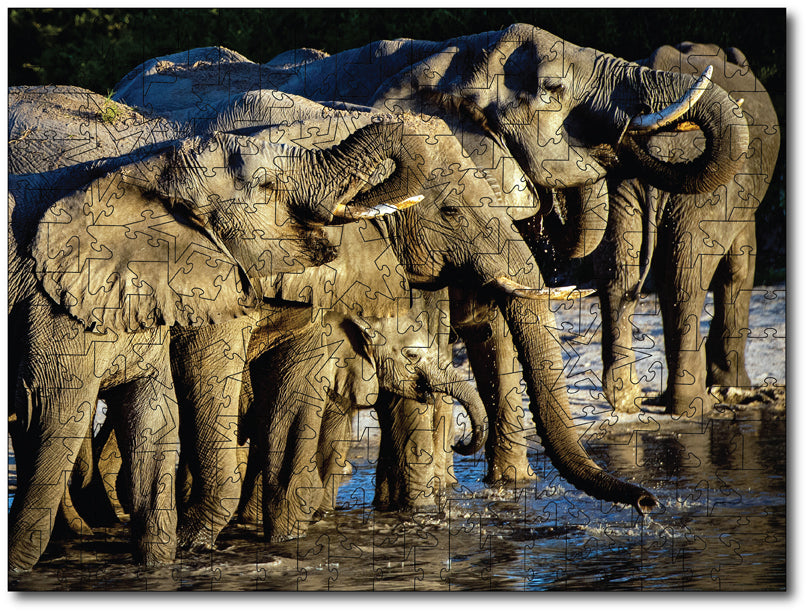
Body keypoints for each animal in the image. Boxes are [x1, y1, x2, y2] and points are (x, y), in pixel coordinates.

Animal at [7, 110, 423, 569]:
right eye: (266, 186)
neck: (149, 172)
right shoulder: (61, 304)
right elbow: (57, 411)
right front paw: (191, 542)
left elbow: (162, 414)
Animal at [111, 24, 749, 487]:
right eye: (551, 90)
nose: (646, 505)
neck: (452, 53)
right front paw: (433, 501)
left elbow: (494, 327)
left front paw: (505, 490)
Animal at [592, 43, 781, 416]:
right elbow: (739, 266)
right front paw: (736, 390)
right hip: (710, 186)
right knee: (687, 276)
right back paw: (695, 406)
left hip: (624, 179)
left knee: (625, 270)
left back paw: (628, 399)